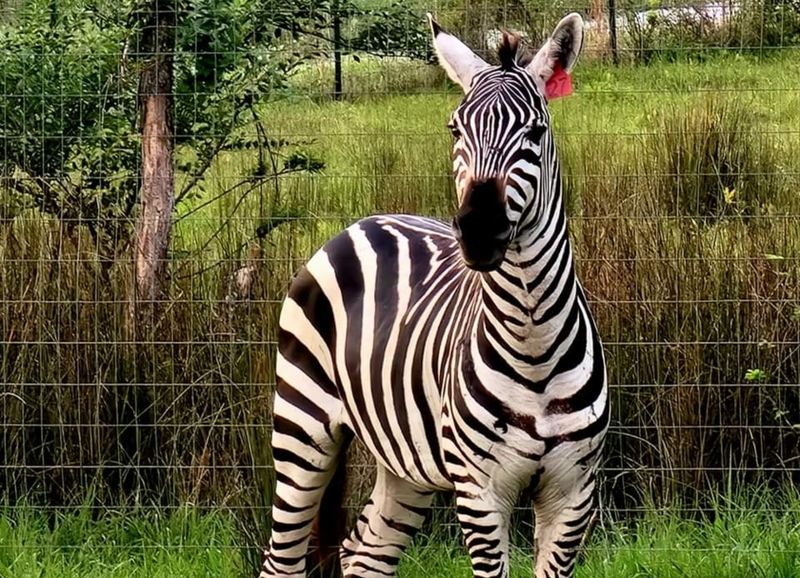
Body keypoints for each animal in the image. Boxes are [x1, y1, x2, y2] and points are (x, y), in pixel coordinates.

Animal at [259, 12, 608, 578]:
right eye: (455, 129)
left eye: (535, 132)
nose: (479, 231)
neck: (534, 342)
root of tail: (363, 222)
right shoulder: (480, 491)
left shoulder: (574, 493)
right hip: (301, 428)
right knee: (282, 560)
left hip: (404, 463)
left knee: (363, 552)